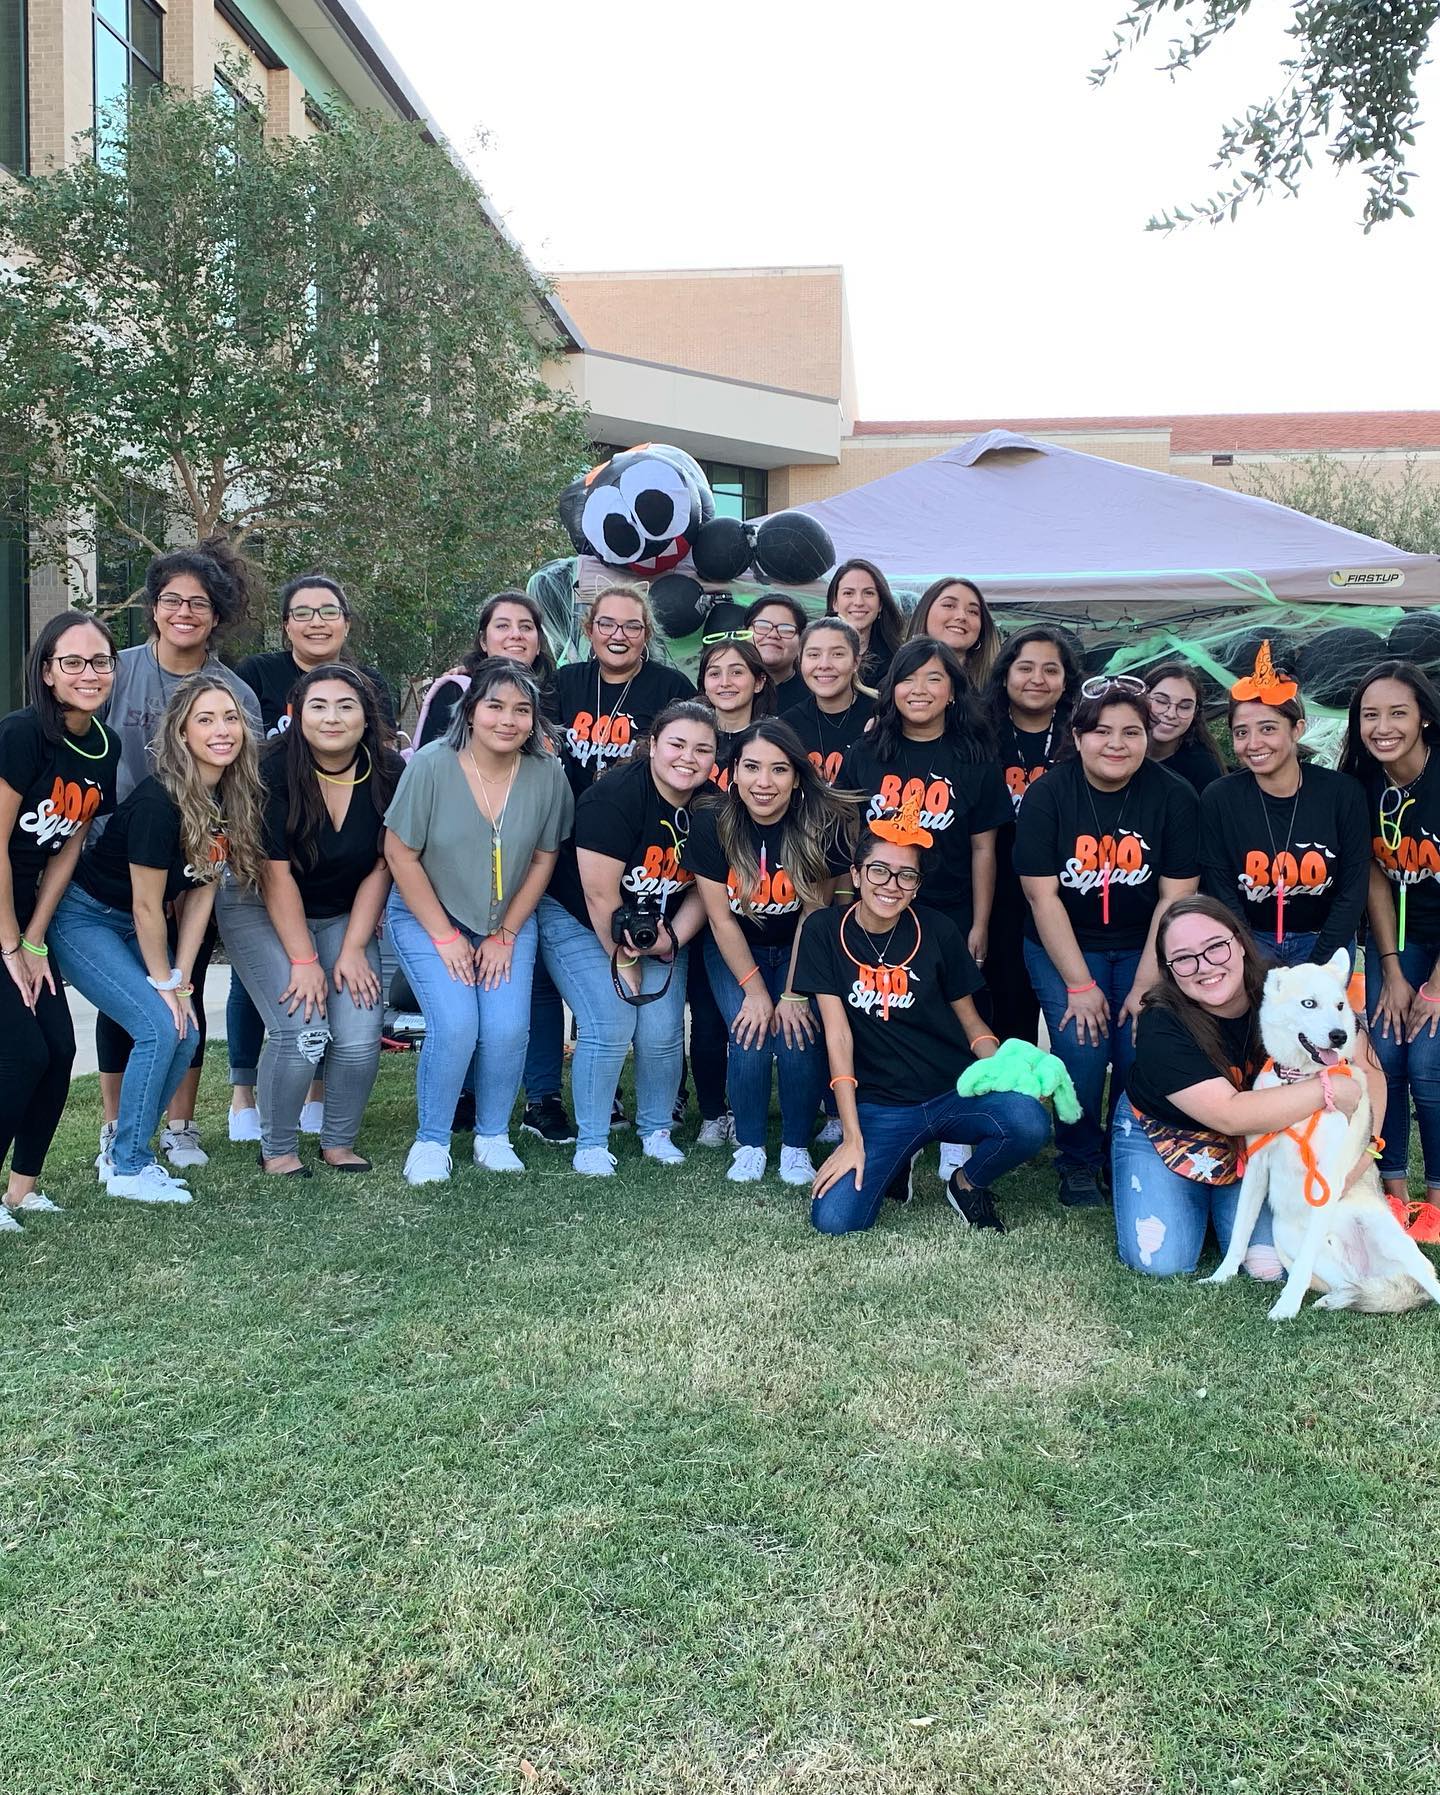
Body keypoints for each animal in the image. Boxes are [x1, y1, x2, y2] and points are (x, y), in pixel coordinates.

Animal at [1206, 954, 1429, 1321]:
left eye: (1340, 1005)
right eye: (1308, 1003)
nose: (1339, 1036)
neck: (1297, 1084)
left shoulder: (1327, 1178)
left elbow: (1297, 1272)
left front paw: (1286, 1306)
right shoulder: (1256, 1169)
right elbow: (1239, 1233)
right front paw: (1221, 1275)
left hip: (1389, 1237)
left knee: (1427, 1280)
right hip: (1289, 1241)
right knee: (1350, 1285)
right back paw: (1336, 1299)